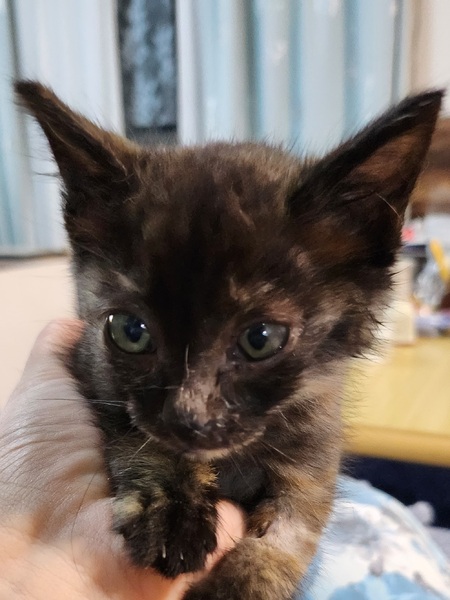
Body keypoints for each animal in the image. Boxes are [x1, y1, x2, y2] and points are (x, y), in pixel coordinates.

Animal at [16, 81, 441, 600]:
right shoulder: (94, 375)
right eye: (130, 332)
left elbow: (294, 528)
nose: (186, 419)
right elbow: (141, 436)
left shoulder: (316, 445)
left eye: (261, 339)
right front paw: (172, 511)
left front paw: (246, 577)